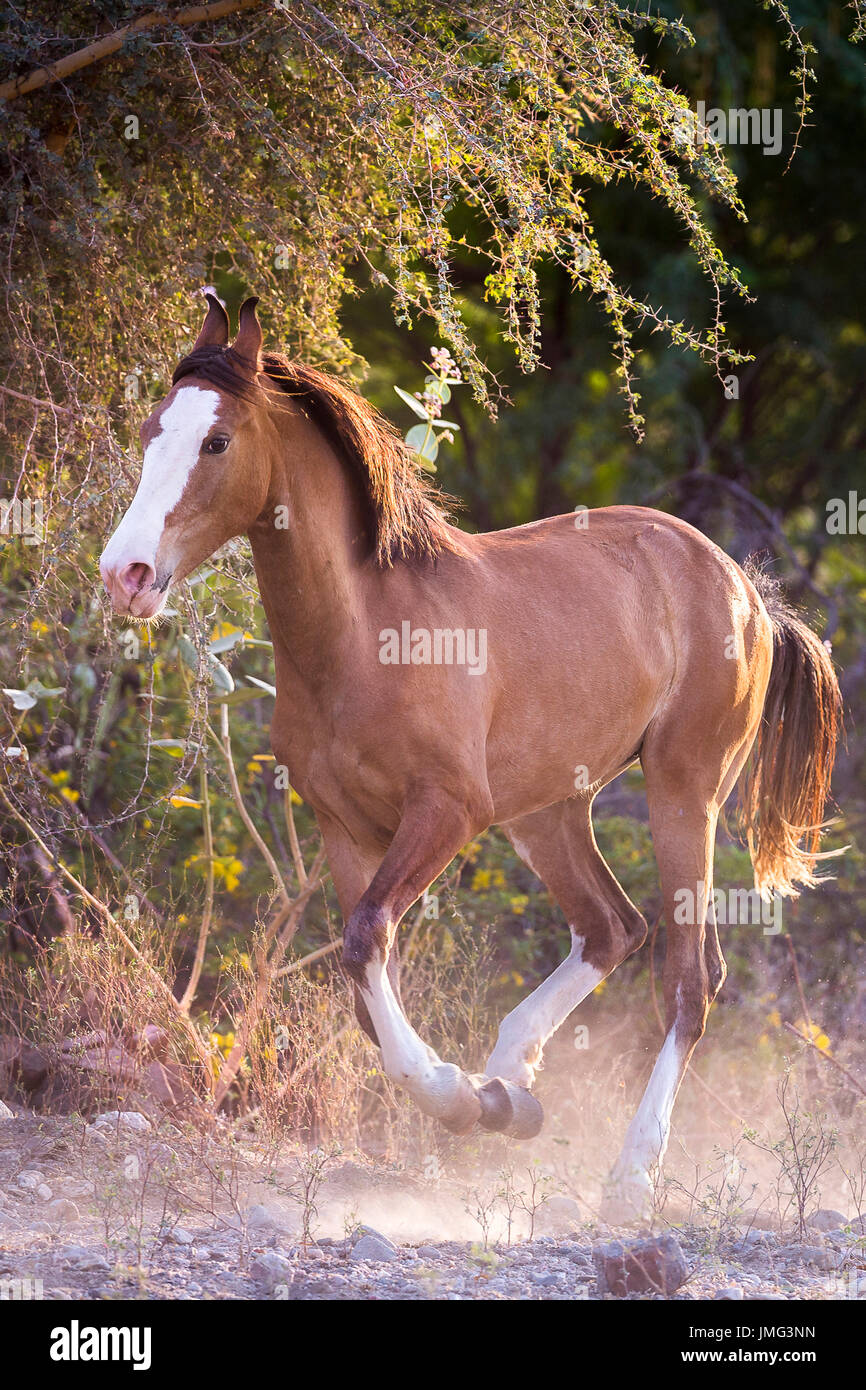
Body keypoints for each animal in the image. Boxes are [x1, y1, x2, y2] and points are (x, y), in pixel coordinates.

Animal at [100, 293, 839, 1217]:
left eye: (217, 442)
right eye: (149, 430)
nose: (124, 574)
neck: (365, 634)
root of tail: (747, 592)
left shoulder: (448, 812)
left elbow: (364, 939)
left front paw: (455, 1098)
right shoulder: (344, 827)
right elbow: (361, 967)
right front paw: (483, 1102)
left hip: (683, 794)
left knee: (689, 977)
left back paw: (629, 1176)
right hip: (550, 812)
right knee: (611, 927)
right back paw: (514, 1080)